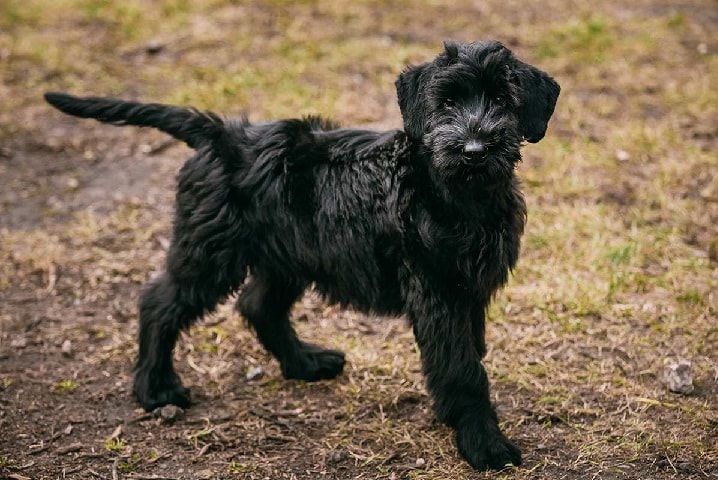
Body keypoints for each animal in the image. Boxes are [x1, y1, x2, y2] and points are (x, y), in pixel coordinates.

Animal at [43, 40, 564, 468]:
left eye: (502, 100)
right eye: (448, 102)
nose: (475, 149)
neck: (453, 192)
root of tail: (220, 135)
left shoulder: (469, 290)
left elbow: (465, 356)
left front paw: (456, 419)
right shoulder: (438, 292)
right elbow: (462, 369)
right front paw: (484, 445)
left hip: (285, 257)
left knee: (257, 306)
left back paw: (305, 365)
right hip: (211, 253)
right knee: (159, 302)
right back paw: (156, 389)